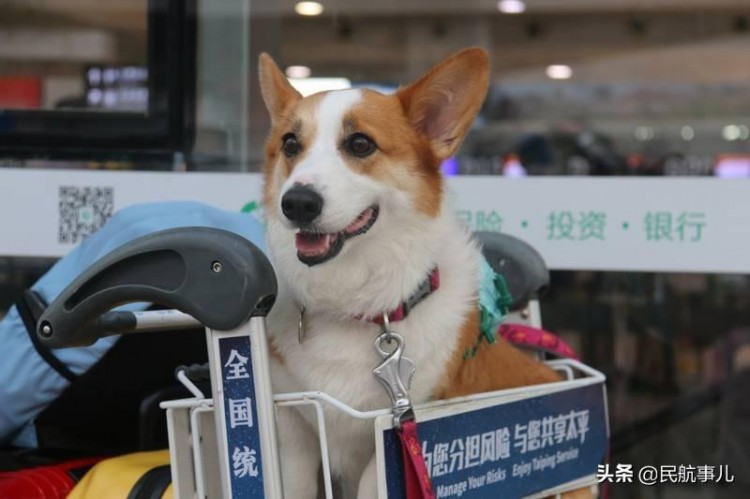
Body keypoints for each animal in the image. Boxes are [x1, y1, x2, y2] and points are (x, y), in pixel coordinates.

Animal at [258, 47, 592, 499]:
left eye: (360, 144)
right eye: (290, 144)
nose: (297, 203)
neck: (359, 304)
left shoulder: (391, 438)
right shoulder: (292, 428)